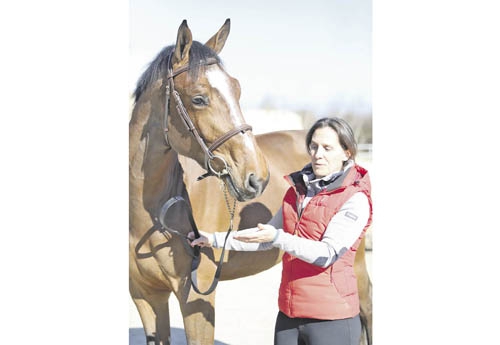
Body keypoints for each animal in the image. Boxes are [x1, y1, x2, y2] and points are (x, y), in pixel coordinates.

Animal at [129, 19, 372, 344]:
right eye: (198, 98)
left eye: (237, 89)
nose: (257, 176)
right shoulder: (145, 296)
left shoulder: (196, 299)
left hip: (356, 264)